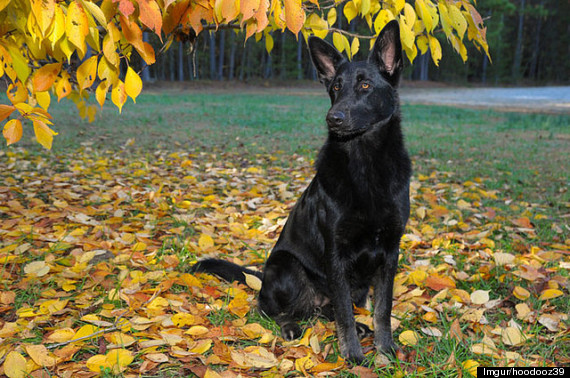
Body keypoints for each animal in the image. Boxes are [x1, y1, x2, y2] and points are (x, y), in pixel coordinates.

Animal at [191, 20, 408, 364]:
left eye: (365, 86)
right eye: (335, 88)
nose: (333, 118)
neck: (365, 163)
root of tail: (262, 280)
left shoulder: (390, 251)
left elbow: (382, 309)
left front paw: (385, 349)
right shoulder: (336, 255)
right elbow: (345, 312)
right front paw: (353, 355)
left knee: (325, 310)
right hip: (287, 268)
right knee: (268, 309)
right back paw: (290, 324)